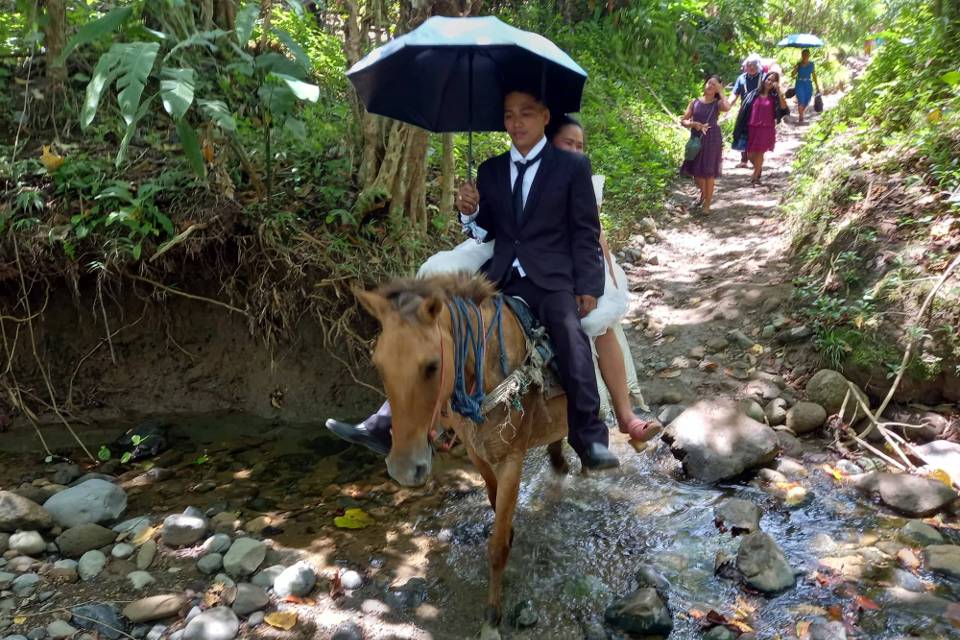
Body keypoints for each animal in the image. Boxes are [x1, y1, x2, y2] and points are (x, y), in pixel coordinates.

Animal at [356, 272, 572, 636]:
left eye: (431, 366)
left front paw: (492, 616)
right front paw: (509, 531)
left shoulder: (512, 459)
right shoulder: (476, 452)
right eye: (379, 365)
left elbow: (496, 547)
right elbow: (494, 501)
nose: (403, 469)